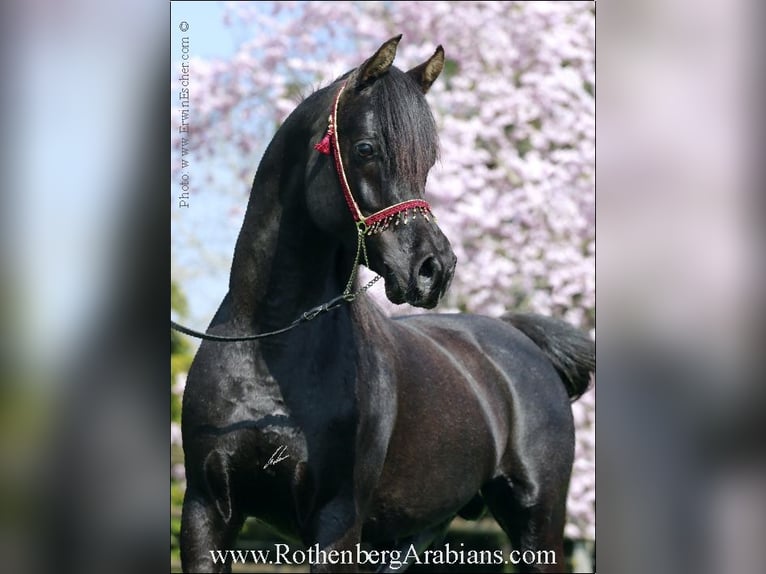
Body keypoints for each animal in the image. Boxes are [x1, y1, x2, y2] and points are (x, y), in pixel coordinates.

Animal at [180, 37, 592, 574]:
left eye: (428, 163)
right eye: (366, 149)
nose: (435, 269)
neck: (269, 347)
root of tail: (522, 342)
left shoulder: (336, 524)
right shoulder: (206, 513)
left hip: (537, 524)